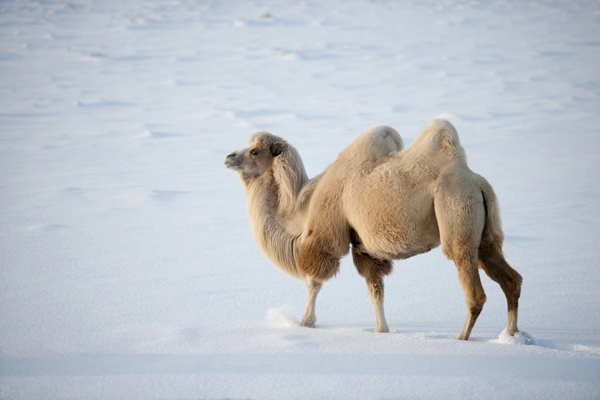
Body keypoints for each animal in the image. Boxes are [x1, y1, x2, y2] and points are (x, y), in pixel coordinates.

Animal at [224, 119, 520, 340]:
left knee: (474, 292)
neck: (302, 206)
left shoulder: (326, 234)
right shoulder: (365, 248)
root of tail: (477, 182)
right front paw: (381, 330)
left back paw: (462, 340)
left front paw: (306, 322)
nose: (228, 157)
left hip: (456, 214)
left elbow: (314, 281)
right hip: (485, 234)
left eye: (254, 151)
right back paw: (512, 334)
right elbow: (375, 289)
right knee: (511, 278)